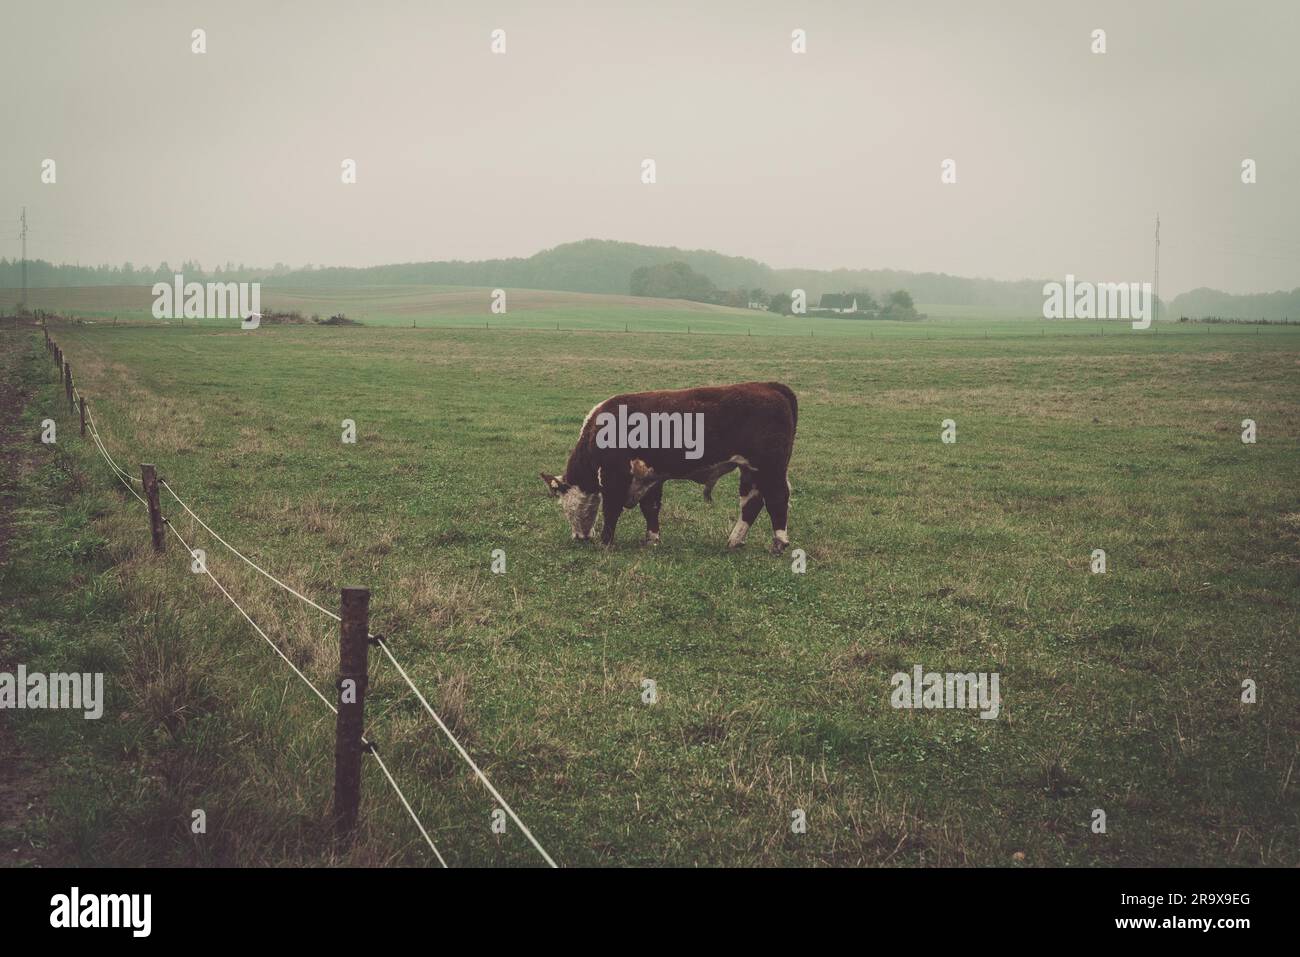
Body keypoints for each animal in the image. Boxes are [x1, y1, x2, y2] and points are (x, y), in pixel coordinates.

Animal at [535, 382, 795, 553]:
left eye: (566, 508)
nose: (578, 537)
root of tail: (768, 386)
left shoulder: (615, 477)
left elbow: (611, 509)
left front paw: (605, 542)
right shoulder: (650, 478)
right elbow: (650, 509)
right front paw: (652, 539)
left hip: (770, 468)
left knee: (777, 499)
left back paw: (779, 543)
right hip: (750, 471)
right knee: (752, 503)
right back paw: (734, 541)